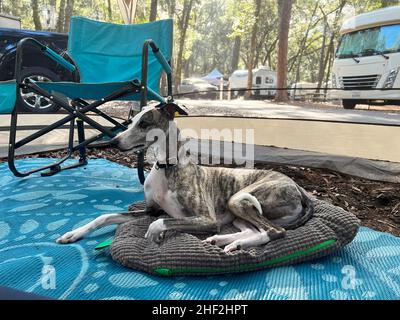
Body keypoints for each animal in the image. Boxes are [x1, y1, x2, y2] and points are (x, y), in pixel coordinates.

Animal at [57, 103, 312, 252]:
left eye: (144, 123)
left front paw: (154, 234)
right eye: (131, 121)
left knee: (275, 232)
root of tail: (300, 189)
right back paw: (226, 241)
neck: (166, 167)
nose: (113, 142)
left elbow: (160, 223)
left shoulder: (207, 219)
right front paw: (72, 233)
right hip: (238, 211)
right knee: (256, 231)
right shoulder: (151, 210)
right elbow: (105, 216)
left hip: (240, 199)